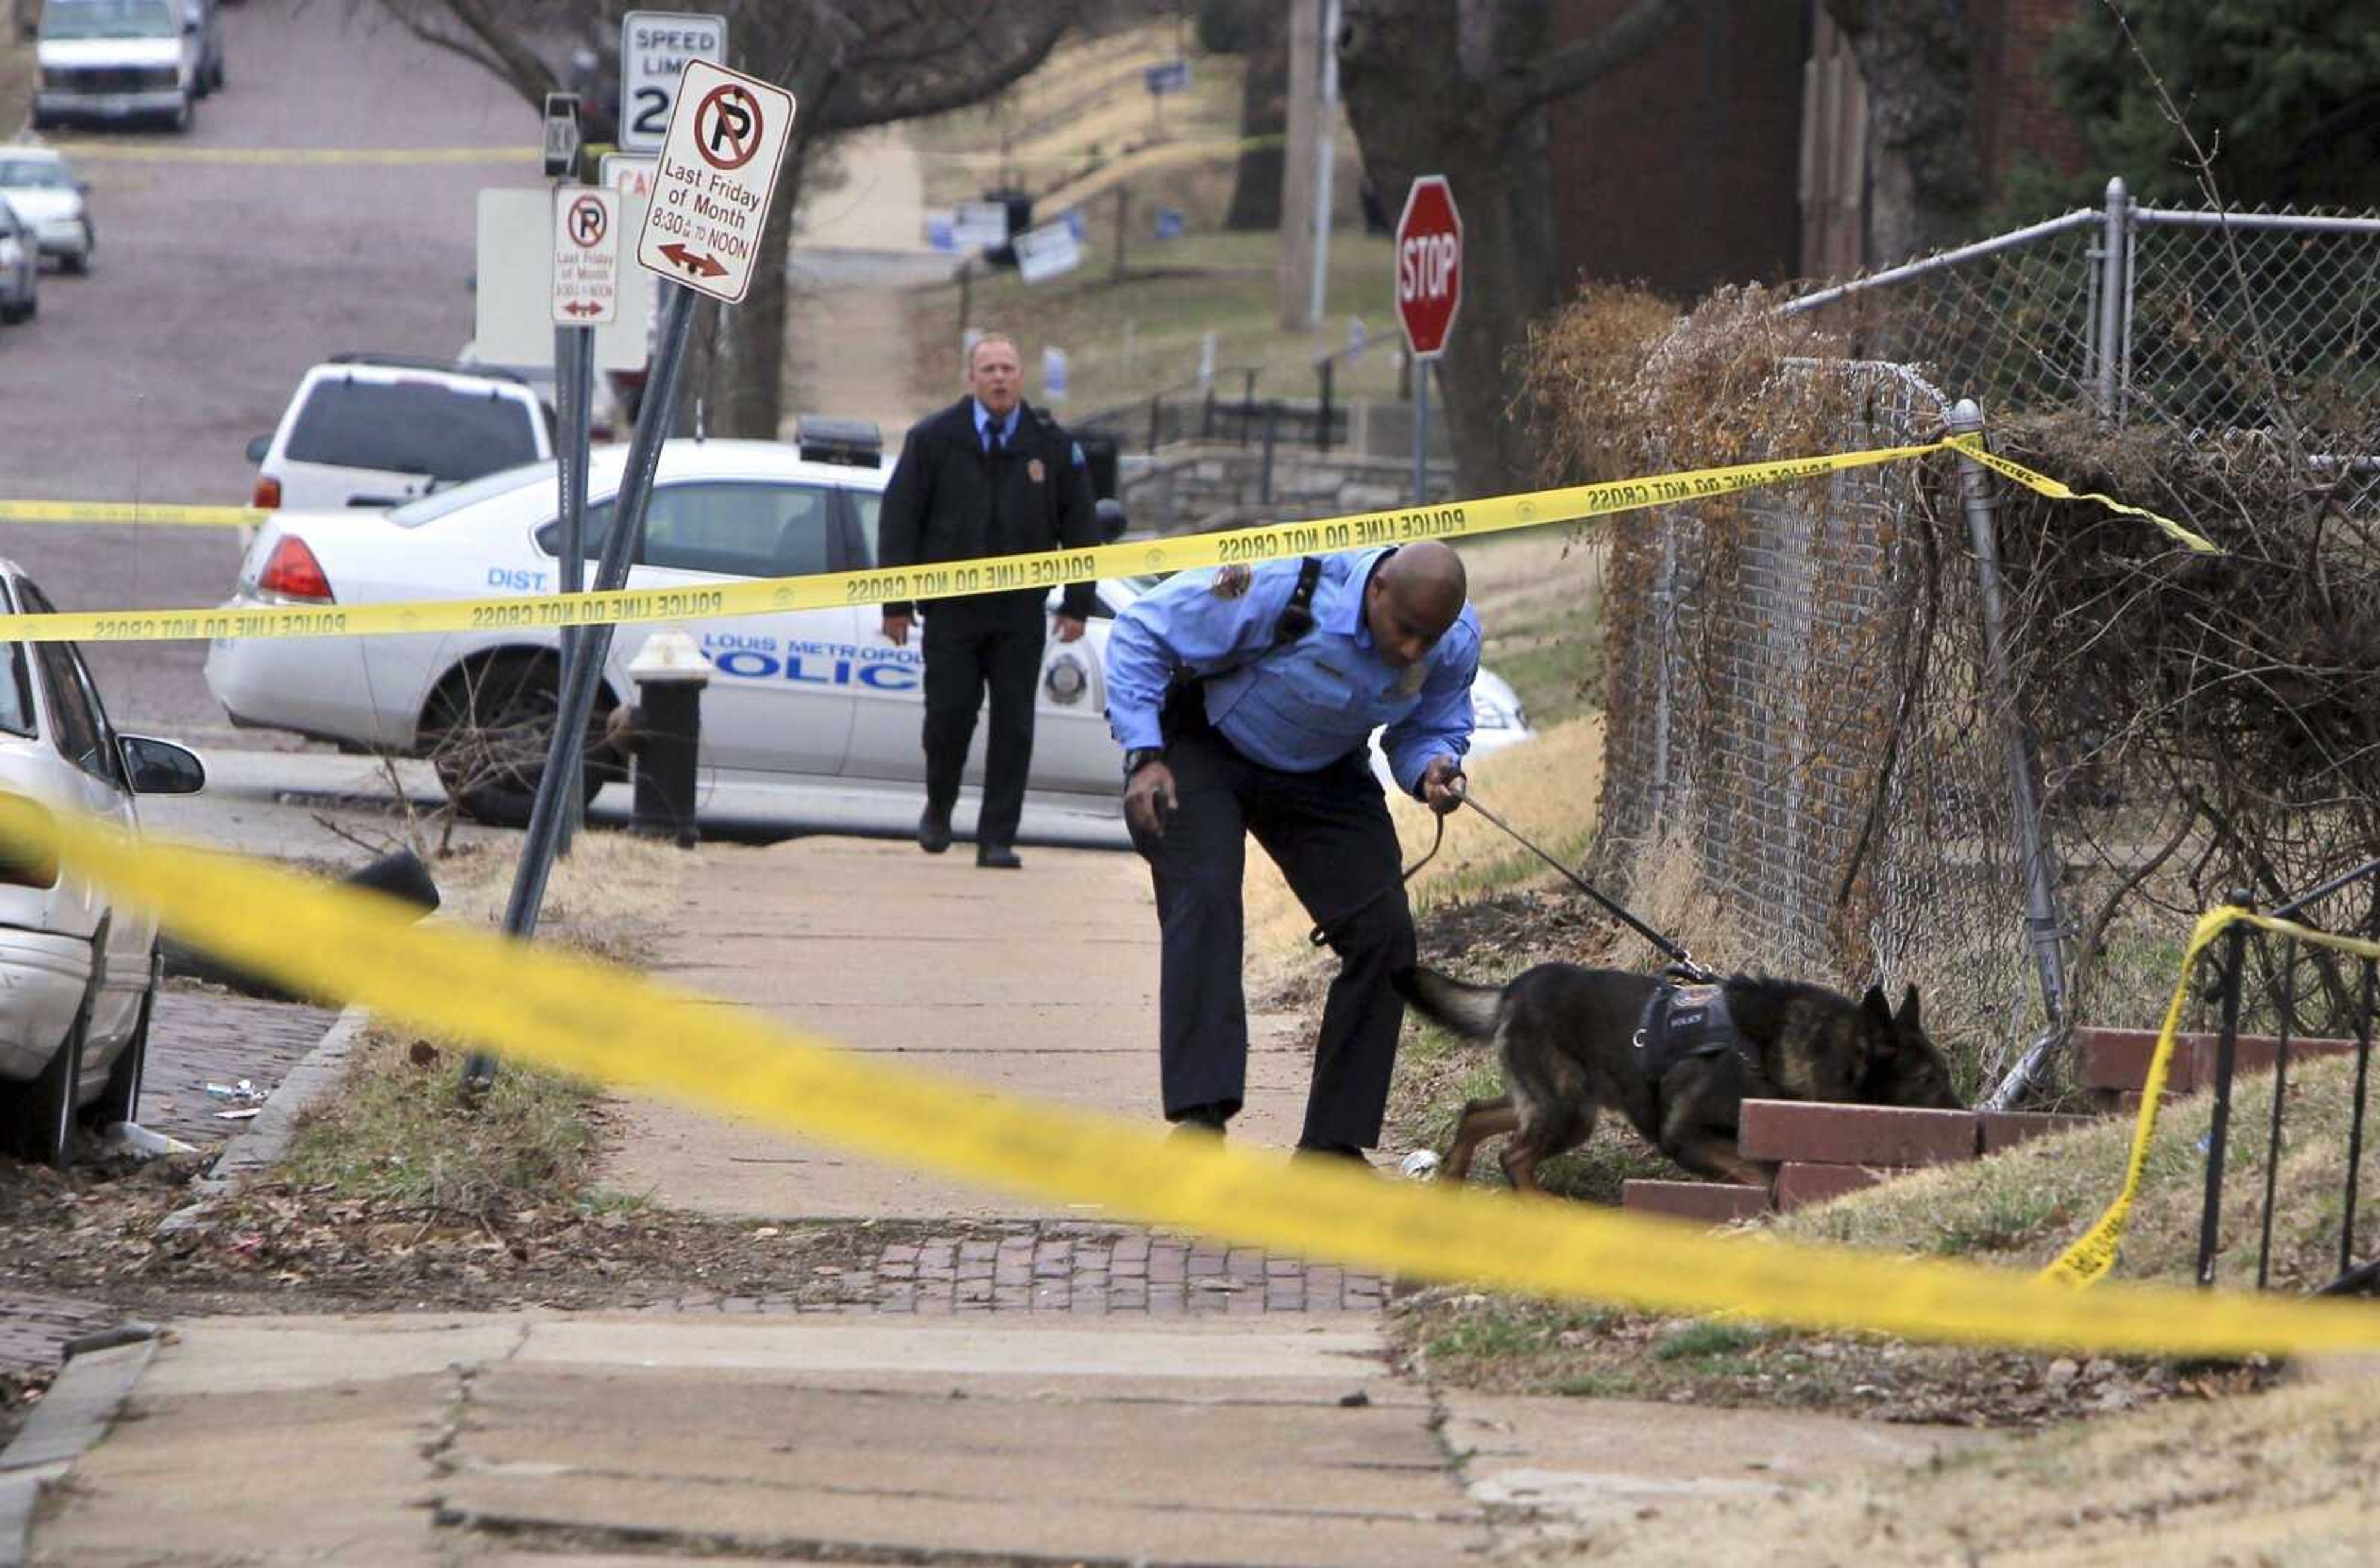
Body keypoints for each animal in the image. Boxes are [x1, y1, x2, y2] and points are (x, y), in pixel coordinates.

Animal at [1390, 961, 1951, 1194]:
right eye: (1927, 1080)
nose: (1965, 1117)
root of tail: (1514, 990)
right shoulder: (1683, 1136)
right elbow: (1758, 1175)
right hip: (1565, 1112)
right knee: (1514, 1156)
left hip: (1561, 1106)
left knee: (1476, 1114)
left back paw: (1453, 1179)